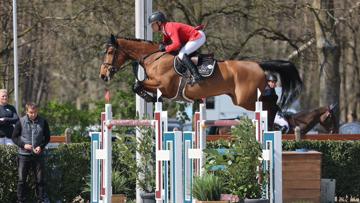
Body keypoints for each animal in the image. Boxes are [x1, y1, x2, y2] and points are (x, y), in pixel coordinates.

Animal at [99, 34, 304, 127]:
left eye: (110, 51)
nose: (103, 75)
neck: (154, 57)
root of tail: (258, 64)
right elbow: (139, 85)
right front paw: (150, 98)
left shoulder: (164, 86)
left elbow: (137, 84)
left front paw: (149, 97)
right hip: (246, 97)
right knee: (272, 100)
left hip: (247, 98)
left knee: (272, 101)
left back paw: (273, 123)